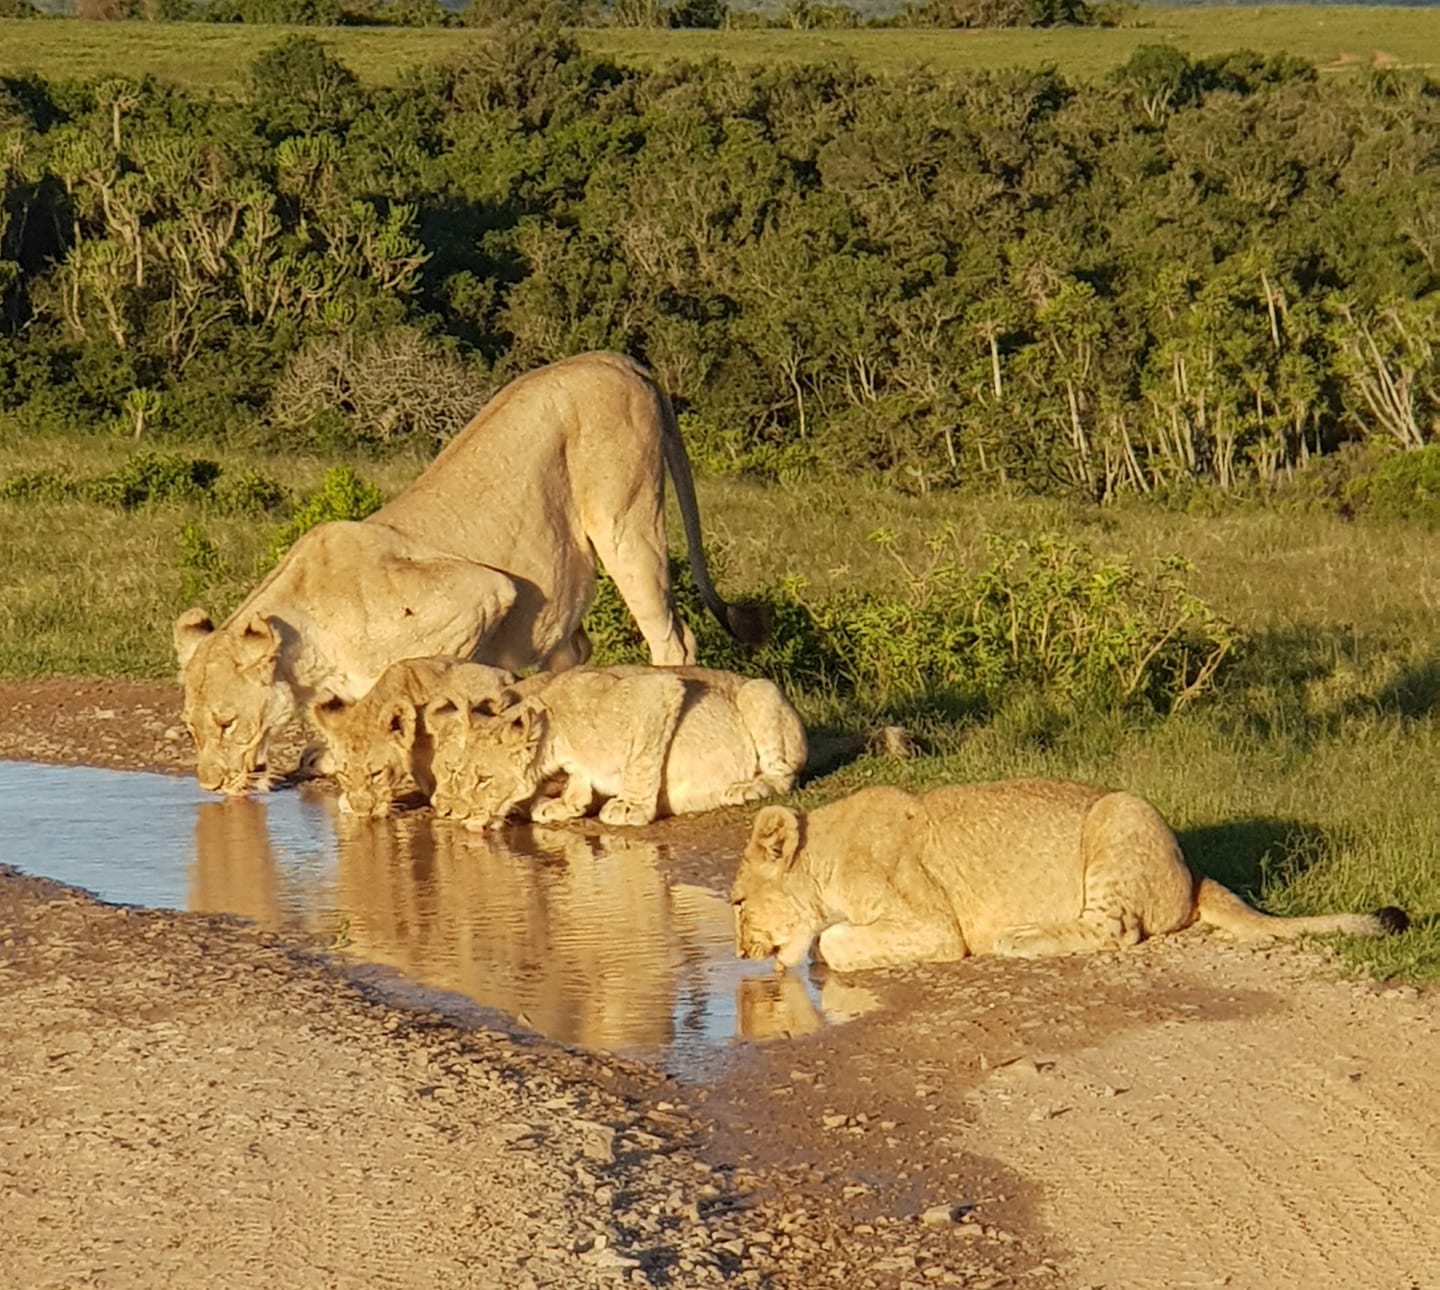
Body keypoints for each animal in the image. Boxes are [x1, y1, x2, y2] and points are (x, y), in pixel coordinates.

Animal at [171, 352, 766, 794]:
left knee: (673, 638)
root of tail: (617, 359)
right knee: (575, 653)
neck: (308, 646)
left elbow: (417, 688)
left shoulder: (478, 595)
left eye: (226, 722)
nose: (209, 783)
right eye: (192, 729)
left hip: (625, 520)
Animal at [426, 665, 812, 829]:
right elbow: (580, 780)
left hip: (758, 691)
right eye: (455, 771)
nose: (455, 815)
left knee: (785, 775)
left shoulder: (657, 691)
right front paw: (565, 804)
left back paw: (749, 786)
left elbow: (641, 760)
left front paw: (629, 807)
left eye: (483, 779)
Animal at [731, 777, 1405, 967]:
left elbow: (836, 943)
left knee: (1115, 930)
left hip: (1119, 814)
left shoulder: (933, 926)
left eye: (736, 903)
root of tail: (1190, 869)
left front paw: (811, 948)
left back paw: (1021, 938)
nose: (738, 954)